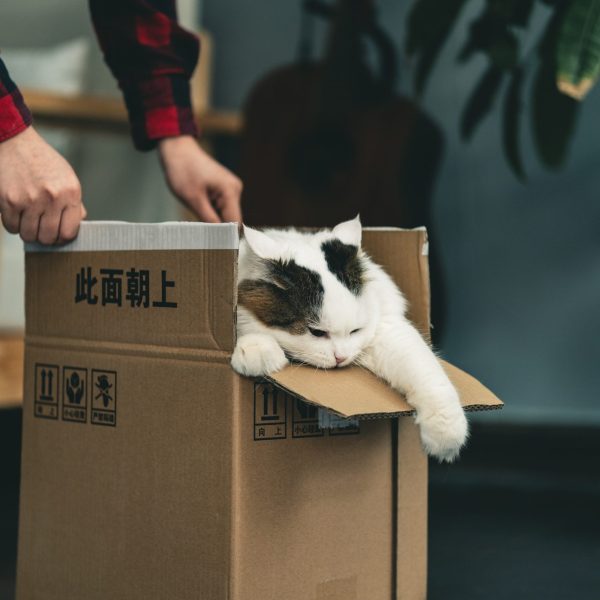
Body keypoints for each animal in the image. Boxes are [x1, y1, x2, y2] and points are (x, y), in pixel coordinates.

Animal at [230, 217, 468, 464]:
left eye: (355, 331)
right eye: (316, 332)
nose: (340, 358)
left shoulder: (388, 331)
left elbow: (426, 372)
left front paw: (447, 436)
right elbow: (246, 330)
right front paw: (257, 351)